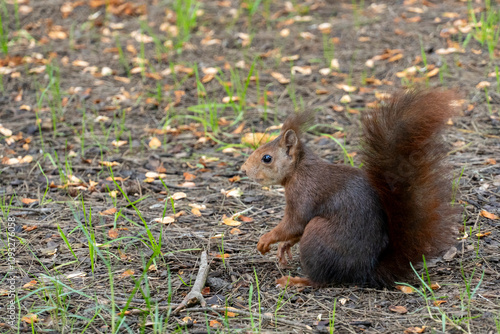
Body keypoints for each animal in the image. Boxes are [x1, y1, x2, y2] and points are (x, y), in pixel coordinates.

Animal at [240, 88, 458, 288]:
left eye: (267, 158)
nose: (244, 169)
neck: (298, 169)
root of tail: (364, 271)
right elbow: (294, 232)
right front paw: (284, 247)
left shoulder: (303, 193)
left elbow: (294, 224)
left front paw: (266, 239)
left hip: (318, 233)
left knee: (321, 280)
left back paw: (296, 280)